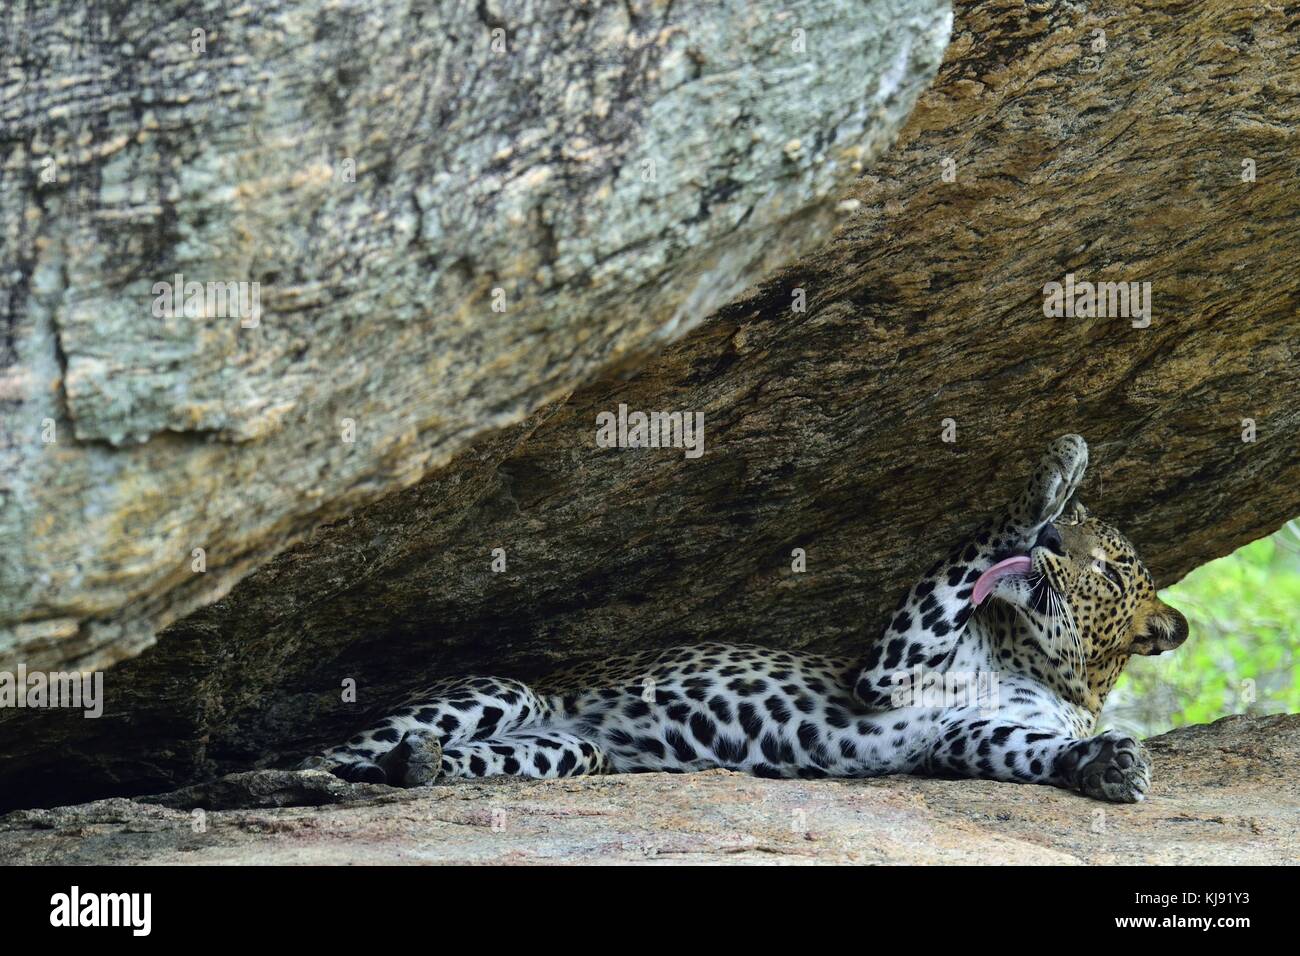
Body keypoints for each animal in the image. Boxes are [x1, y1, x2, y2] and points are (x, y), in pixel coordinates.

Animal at [303, 434, 1188, 802]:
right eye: (1075, 533)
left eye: (1110, 567)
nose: (1051, 541)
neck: (1031, 661)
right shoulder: (888, 673)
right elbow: (970, 548)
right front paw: (1052, 476)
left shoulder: (967, 736)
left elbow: (1032, 753)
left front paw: (1110, 767)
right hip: (503, 693)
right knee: (306, 761)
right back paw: (341, 775)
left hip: (568, 750)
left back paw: (420, 768)